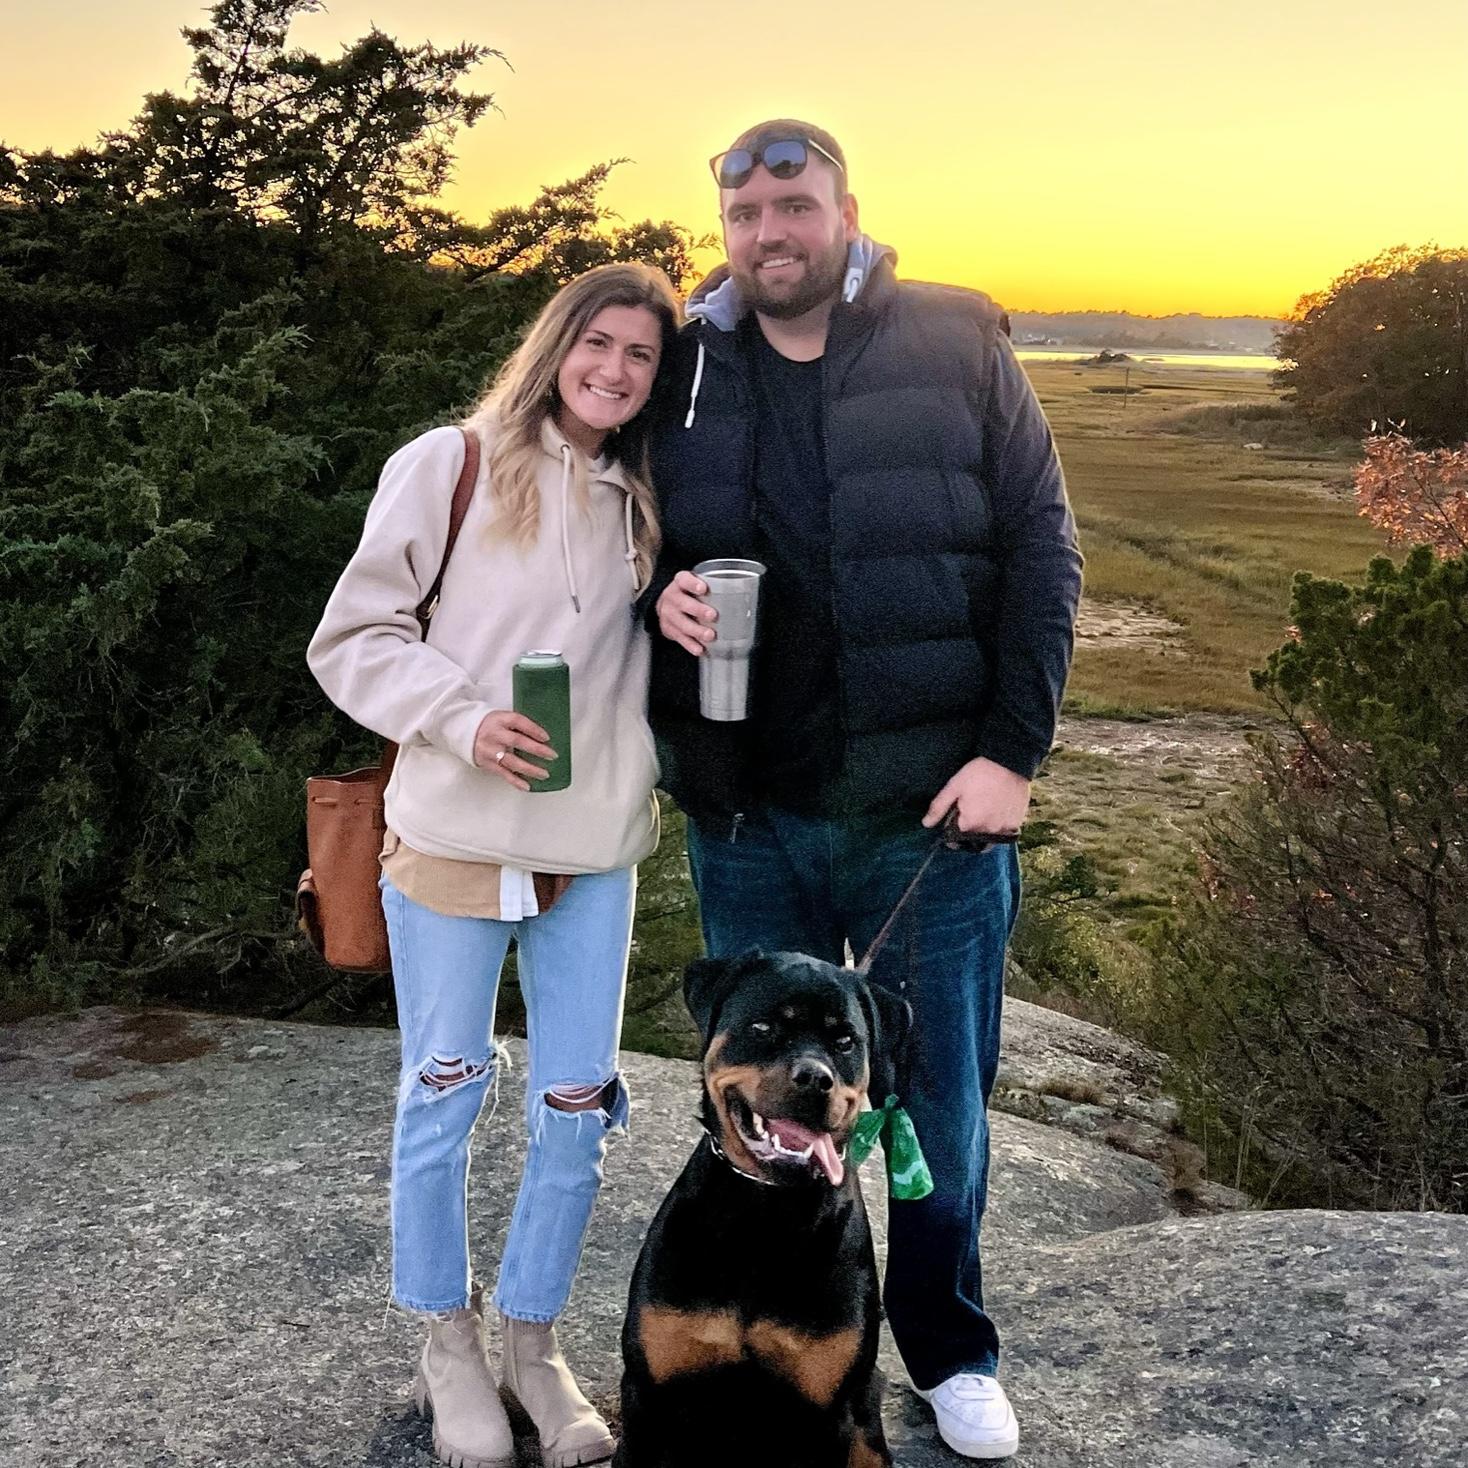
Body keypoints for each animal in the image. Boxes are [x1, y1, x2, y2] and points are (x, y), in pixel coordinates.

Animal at [615, 950, 911, 1468]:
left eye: (845, 1041)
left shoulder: (825, 1414)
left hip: (866, 1425)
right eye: (763, 1026)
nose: (815, 1078)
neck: (766, 1208)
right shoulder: (649, 1395)